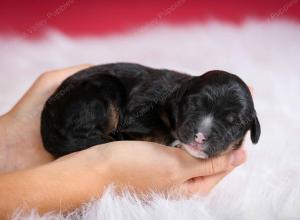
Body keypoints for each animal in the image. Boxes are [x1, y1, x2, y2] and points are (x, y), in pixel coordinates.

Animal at [40, 62, 260, 157]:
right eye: (193, 105)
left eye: (234, 123)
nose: (200, 136)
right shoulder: (137, 113)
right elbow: (161, 131)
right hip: (102, 89)